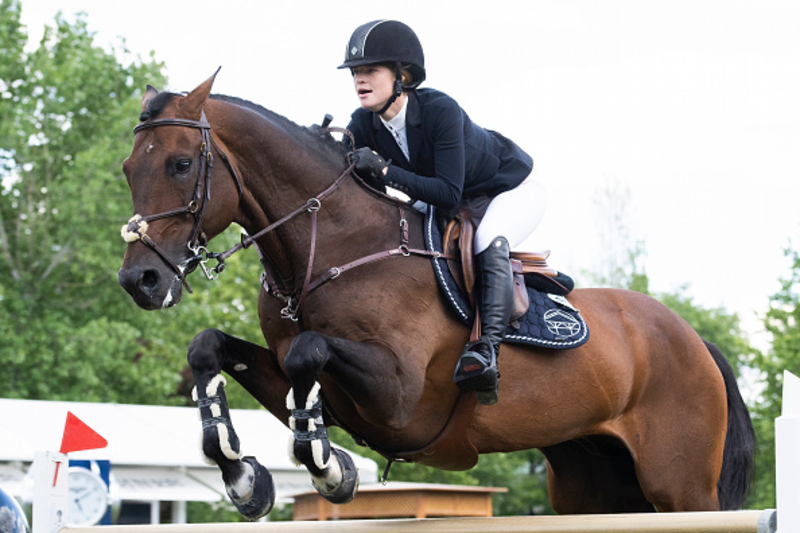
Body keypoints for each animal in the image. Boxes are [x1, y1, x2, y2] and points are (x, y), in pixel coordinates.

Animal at [115, 72, 752, 516]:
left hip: (681, 485)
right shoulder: (329, 389)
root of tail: (695, 340)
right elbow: (213, 347)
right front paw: (243, 474)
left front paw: (328, 468)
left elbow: (308, 353)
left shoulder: (398, 398)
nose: (139, 282)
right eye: (127, 168)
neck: (327, 250)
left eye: (180, 164)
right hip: (589, 481)